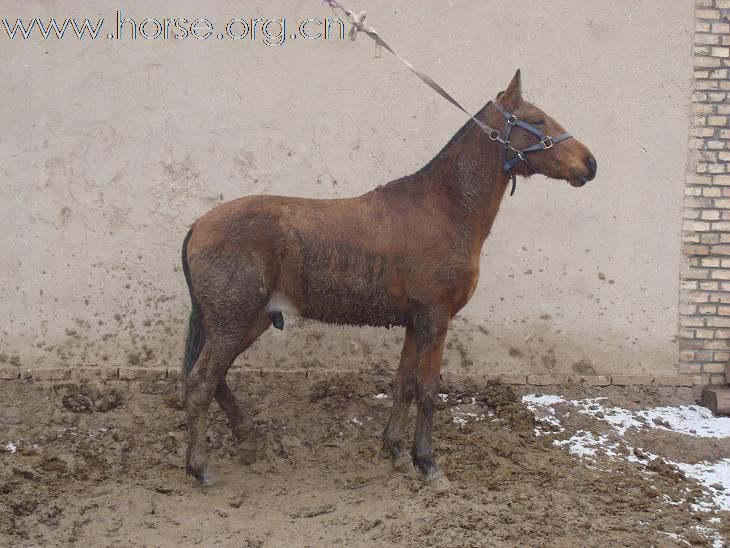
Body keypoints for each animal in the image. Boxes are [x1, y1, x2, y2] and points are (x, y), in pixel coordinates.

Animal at [179, 70, 596, 486]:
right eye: (538, 119)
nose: (590, 163)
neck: (443, 209)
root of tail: (199, 224)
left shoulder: (415, 322)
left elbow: (404, 383)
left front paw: (395, 450)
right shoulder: (435, 318)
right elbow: (427, 389)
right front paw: (428, 463)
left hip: (251, 320)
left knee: (216, 378)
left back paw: (247, 439)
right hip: (232, 321)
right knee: (201, 384)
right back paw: (200, 468)